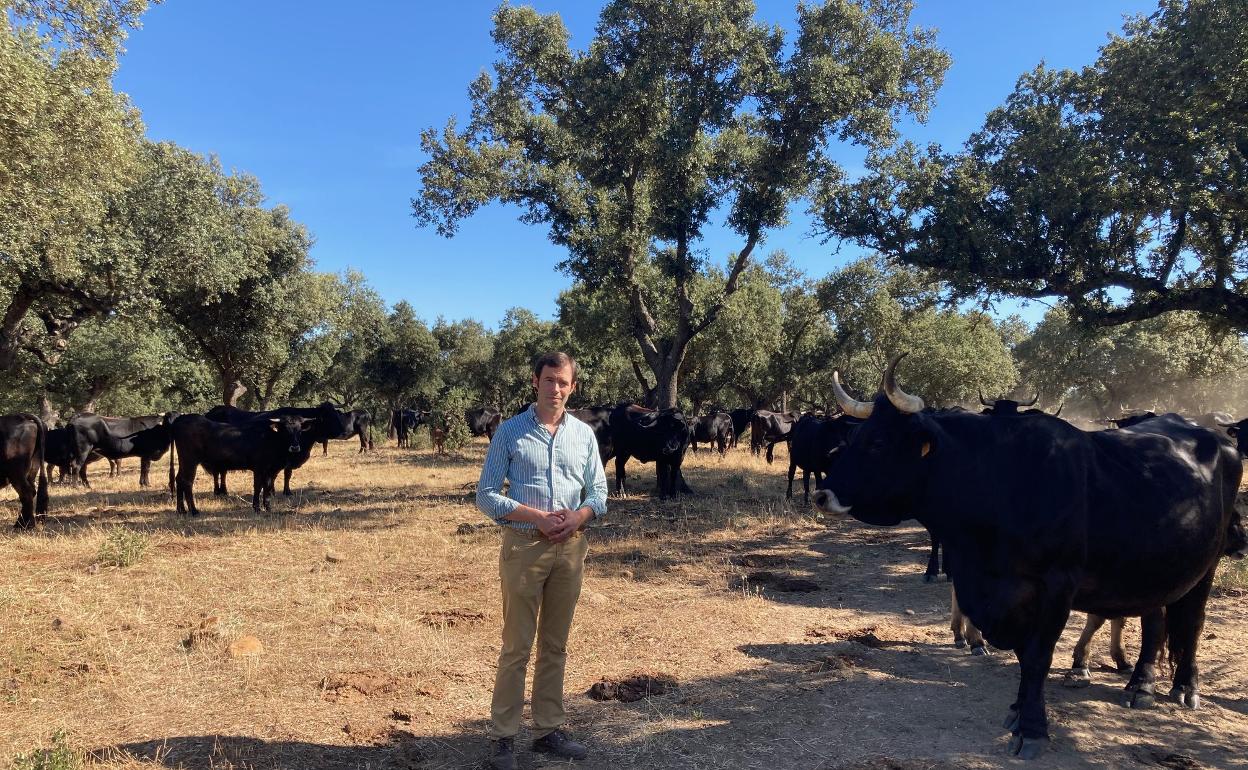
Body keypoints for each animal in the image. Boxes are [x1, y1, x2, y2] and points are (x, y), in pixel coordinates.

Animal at [169, 411, 314, 514]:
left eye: (299, 430)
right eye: (285, 429)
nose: (295, 447)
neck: (270, 437)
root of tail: (181, 419)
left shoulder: (269, 470)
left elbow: (267, 487)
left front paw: (268, 507)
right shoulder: (259, 468)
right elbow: (258, 486)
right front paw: (257, 508)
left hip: (183, 461)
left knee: (179, 479)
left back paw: (181, 510)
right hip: (190, 461)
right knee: (187, 482)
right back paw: (193, 510)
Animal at [813, 354, 1243, 758]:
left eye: (878, 443)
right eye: (854, 436)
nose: (822, 495)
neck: (1001, 479)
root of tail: (1212, 436)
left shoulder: (1057, 585)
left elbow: (1037, 656)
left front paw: (1033, 729)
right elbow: (1023, 655)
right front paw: (1018, 711)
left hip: (1206, 565)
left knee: (1193, 623)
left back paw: (1183, 686)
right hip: (1156, 566)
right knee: (1158, 620)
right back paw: (1141, 684)